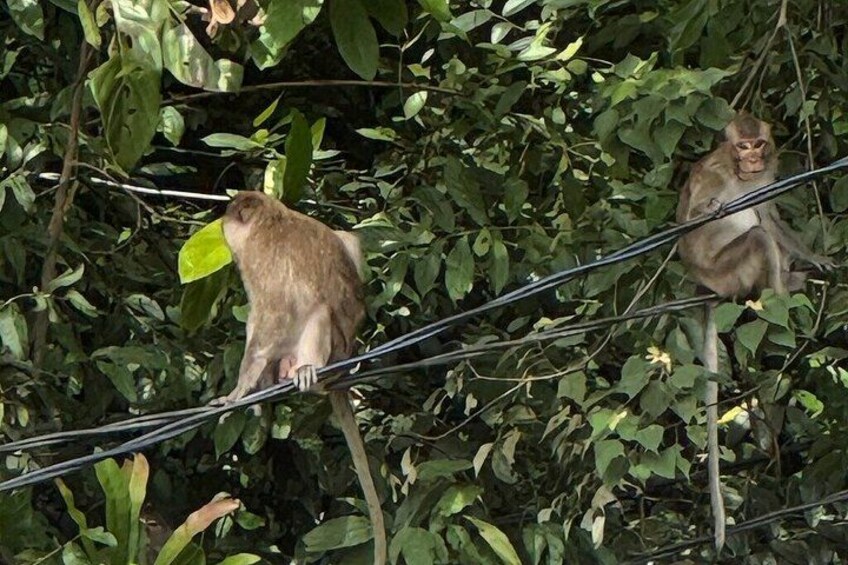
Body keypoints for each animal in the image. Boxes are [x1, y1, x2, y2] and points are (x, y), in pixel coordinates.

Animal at [216, 191, 387, 565]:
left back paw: (307, 371)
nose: (222, 225)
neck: (272, 218)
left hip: (331, 349)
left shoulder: (260, 257)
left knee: (318, 310)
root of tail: (342, 361)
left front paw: (238, 391)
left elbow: (273, 312)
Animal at [676, 113, 833, 551]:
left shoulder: (767, 177)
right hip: (726, 271)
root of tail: (709, 287)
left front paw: (815, 256)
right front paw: (711, 208)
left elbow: (772, 217)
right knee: (757, 238)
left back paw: (790, 280)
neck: (739, 175)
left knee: (766, 232)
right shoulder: (712, 174)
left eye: (759, 144)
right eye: (742, 147)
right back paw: (780, 296)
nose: (751, 160)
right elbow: (693, 220)